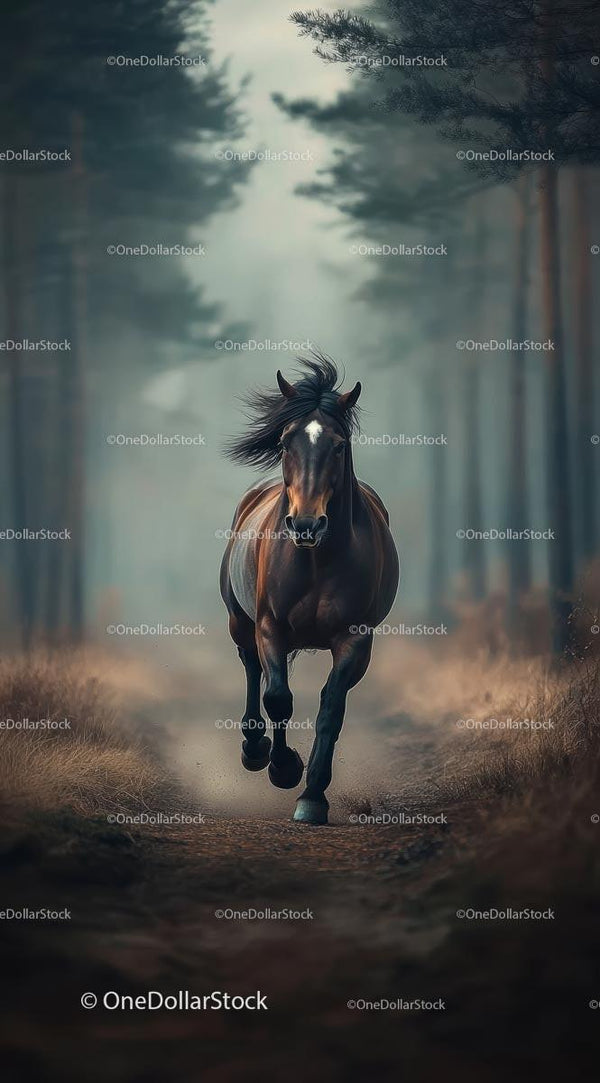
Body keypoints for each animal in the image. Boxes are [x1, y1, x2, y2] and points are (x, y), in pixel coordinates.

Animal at [220, 355, 399, 825]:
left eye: (339, 445)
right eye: (286, 443)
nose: (305, 524)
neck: (318, 560)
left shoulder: (356, 639)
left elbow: (330, 709)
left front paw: (313, 795)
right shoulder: (270, 628)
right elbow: (278, 698)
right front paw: (283, 768)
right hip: (239, 621)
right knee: (252, 669)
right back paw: (254, 748)